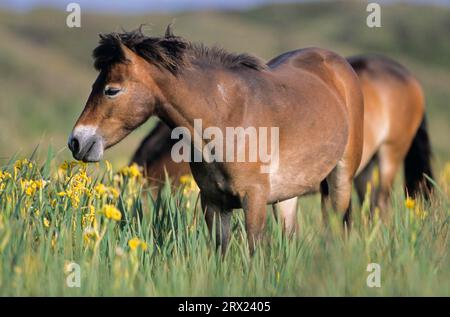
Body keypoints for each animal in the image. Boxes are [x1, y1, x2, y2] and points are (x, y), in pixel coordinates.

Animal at [68, 27, 364, 252]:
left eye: (111, 90)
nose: (76, 141)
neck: (228, 117)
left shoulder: (253, 200)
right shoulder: (213, 202)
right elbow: (221, 253)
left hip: (340, 181)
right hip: (287, 195)